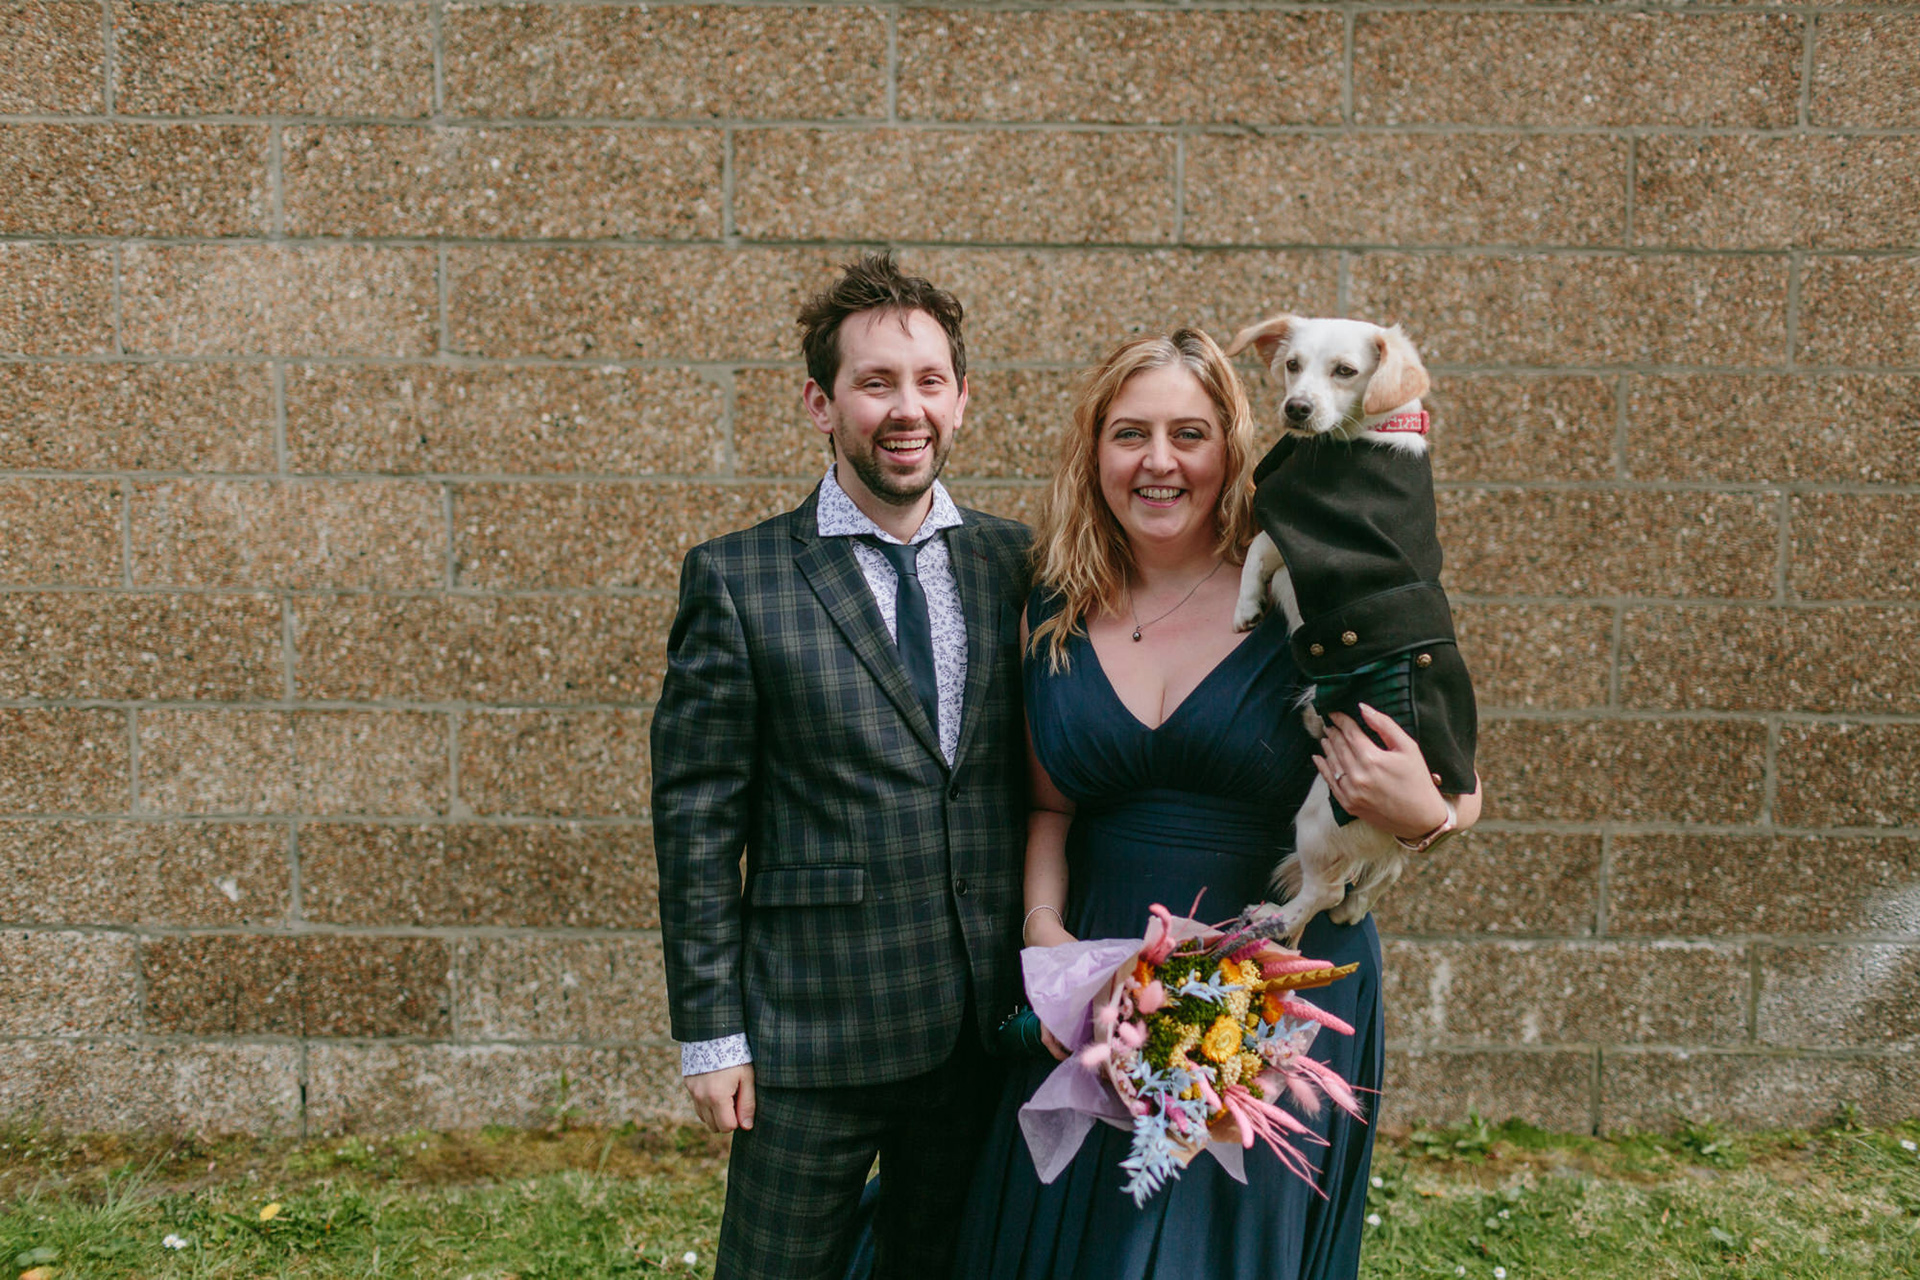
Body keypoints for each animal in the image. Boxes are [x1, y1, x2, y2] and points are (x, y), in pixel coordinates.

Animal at [1222, 314, 1478, 940]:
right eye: (1292, 365)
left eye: (1345, 371)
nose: (1296, 409)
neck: (1370, 434)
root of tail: (1442, 798)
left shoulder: (1302, 545)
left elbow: (1258, 548)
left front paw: (1245, 607)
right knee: (1378, 877)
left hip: (1321, 816)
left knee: (1324, 887)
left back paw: (1273, 919)